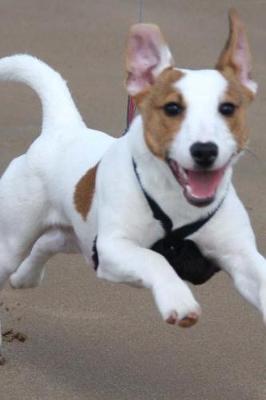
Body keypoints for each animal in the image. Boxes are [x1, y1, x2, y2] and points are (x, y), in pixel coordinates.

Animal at [0, 7, 264, 332]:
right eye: (172, 108)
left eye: (228, 108)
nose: (205, 150)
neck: (176, 202)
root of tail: (62, 128)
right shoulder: (113, 248)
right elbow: (155, 260)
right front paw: (178, 298)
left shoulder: (241, 256)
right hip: (15, 240)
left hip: (79, 234)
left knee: (48, 242)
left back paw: (26, 277)